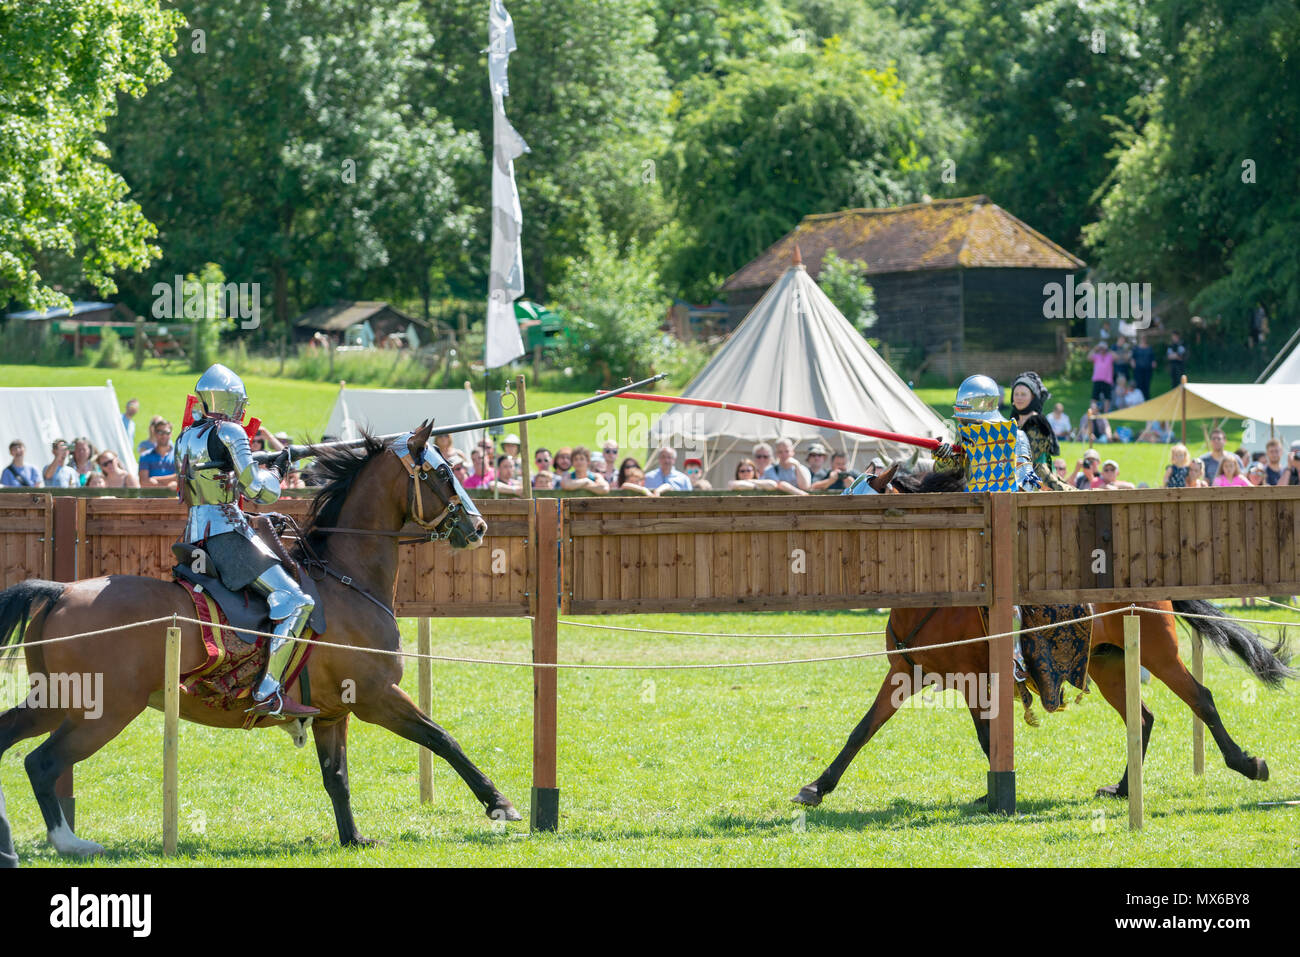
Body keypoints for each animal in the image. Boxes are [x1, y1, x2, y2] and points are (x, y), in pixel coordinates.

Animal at [1, 421, 517, 858]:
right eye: (444, 472)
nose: (478, 527)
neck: (346, 578)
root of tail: (61, 591)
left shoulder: (333, 714)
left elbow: (337, 777)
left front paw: (353, 838)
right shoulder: (378, 698)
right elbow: (442, 738)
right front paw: (500, 804)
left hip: (56, 700)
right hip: (101, 711)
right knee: (42, 763)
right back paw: (70, 843)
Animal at [790, 468, 1289, 811]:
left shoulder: (974, 679)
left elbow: (987, 737)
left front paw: (994, 795)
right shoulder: (907, 674)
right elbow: (863, 730)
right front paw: (817, 786)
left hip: (1157, 651)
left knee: (1201, 698)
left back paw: (1247, 764)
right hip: (1107, 662)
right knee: (1143, 719)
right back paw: (1122, 787)